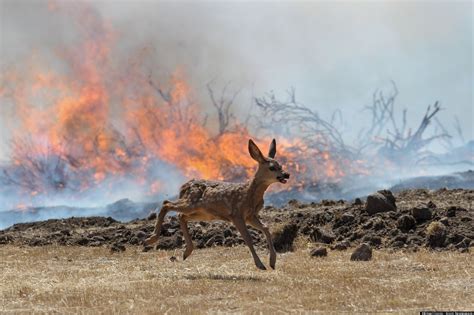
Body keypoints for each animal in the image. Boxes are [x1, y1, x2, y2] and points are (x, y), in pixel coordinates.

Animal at [143, 139, 288, 270]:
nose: (287, 174)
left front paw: (272, 262)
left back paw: (187, 251)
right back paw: (150, 239)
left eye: (280, 166)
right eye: (272, 167)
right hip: (191, 203)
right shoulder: (236, 214)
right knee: (166, 204)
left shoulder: (250, 216)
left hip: (203, 213)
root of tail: (183, 187)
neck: (249, 194)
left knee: (181, 216)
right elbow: (248, 238)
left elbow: (266, 228)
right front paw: (260, 265)